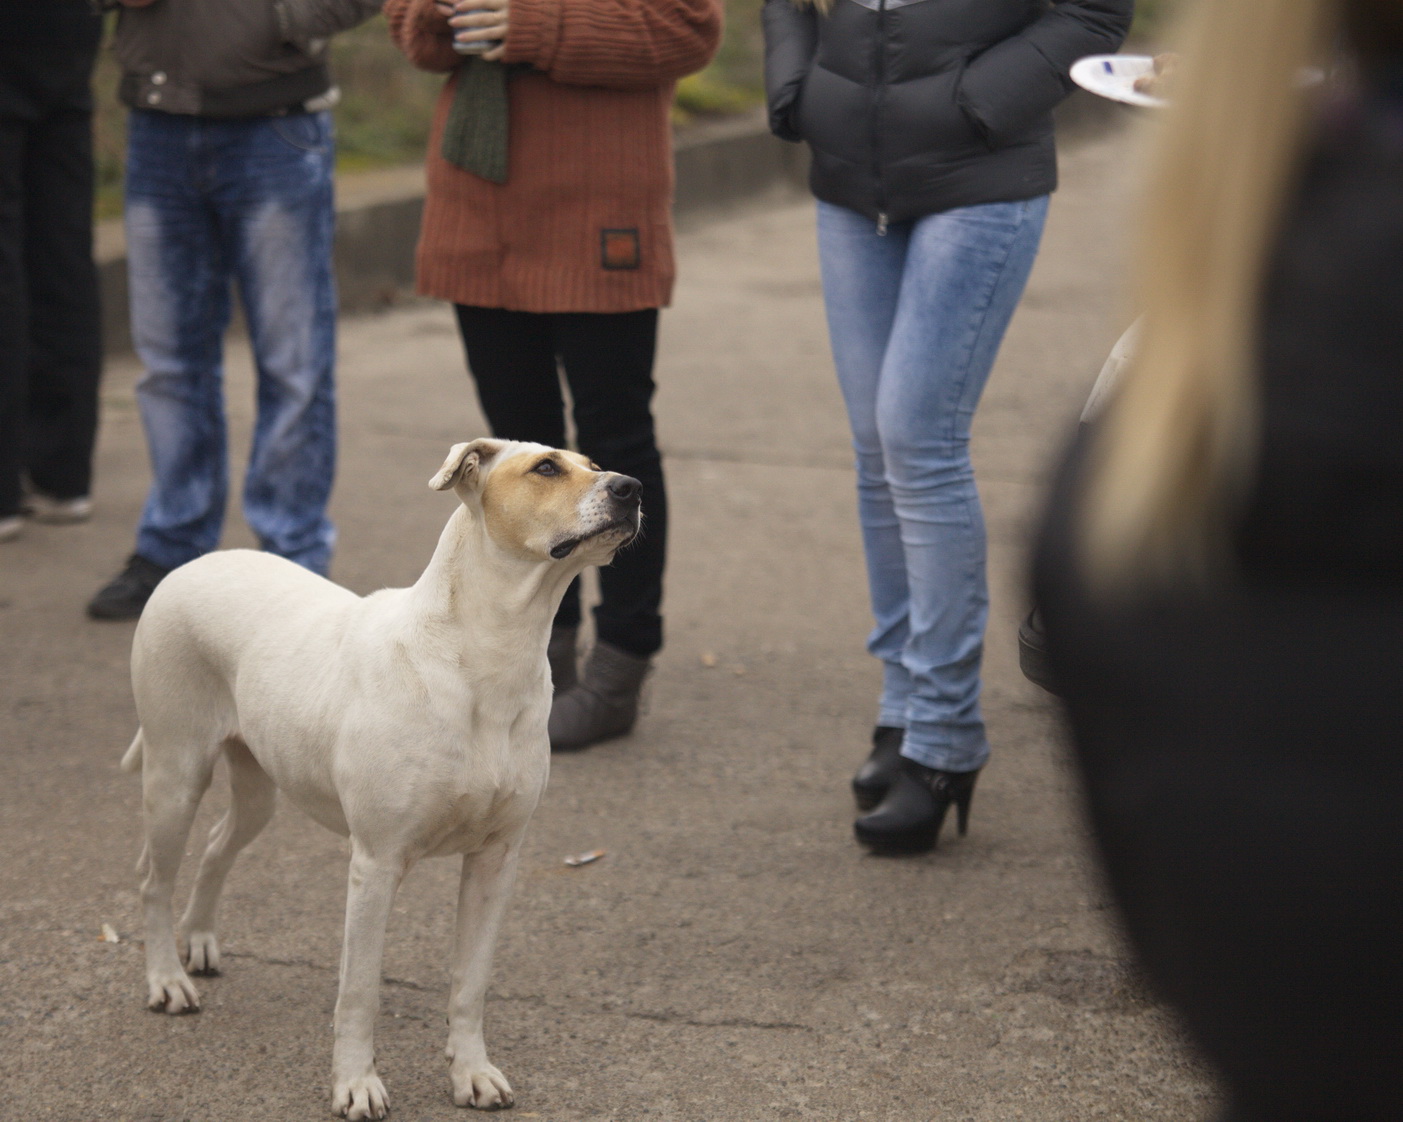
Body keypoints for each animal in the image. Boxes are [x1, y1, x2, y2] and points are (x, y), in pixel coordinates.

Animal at [121, 438, 642, 1119]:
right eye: (547, 468)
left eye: (594, 465)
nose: (632, 487)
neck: (488, 658)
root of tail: (192, 565)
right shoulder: (377, 863)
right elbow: (360, 991)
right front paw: (355, 1085)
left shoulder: (496, 862)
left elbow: (470, 983)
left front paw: (472, 1074)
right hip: (174, 776)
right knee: (154, 881)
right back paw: (166, 980)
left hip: (259, 789)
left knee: (215, 848)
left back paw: (201, 941)